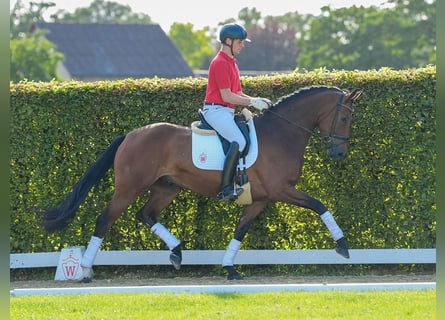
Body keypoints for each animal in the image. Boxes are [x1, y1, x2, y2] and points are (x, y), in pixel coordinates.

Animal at [40, 86, 360, 282]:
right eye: (345, 117)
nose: (339, 153)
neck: (282, 133)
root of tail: (131, 135)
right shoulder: (282, 190)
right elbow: (320, 205)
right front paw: (343, 245)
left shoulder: (259, 200)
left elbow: (240, 231)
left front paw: (229, 268)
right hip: (129, 188)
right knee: (105, 219)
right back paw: (85, 270)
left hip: (167, 187)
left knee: (146, 215)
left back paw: (177, 252)